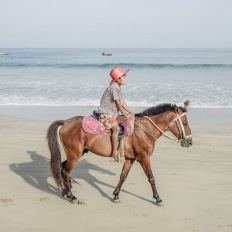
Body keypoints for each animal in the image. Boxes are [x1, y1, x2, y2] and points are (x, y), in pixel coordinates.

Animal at [46, 100, 192, 204]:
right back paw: (71, 195)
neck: (144, 130)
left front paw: (116, 195)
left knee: (62, 168)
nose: (190, 142)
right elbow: (151, 178)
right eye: (184, 123)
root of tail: (65, 122)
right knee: (65, 171)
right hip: (74, 155)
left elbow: (123, 176)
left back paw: (66, 191)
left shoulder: (130, 159)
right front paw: (157, 198)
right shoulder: (144, 158)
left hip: (77, 153)